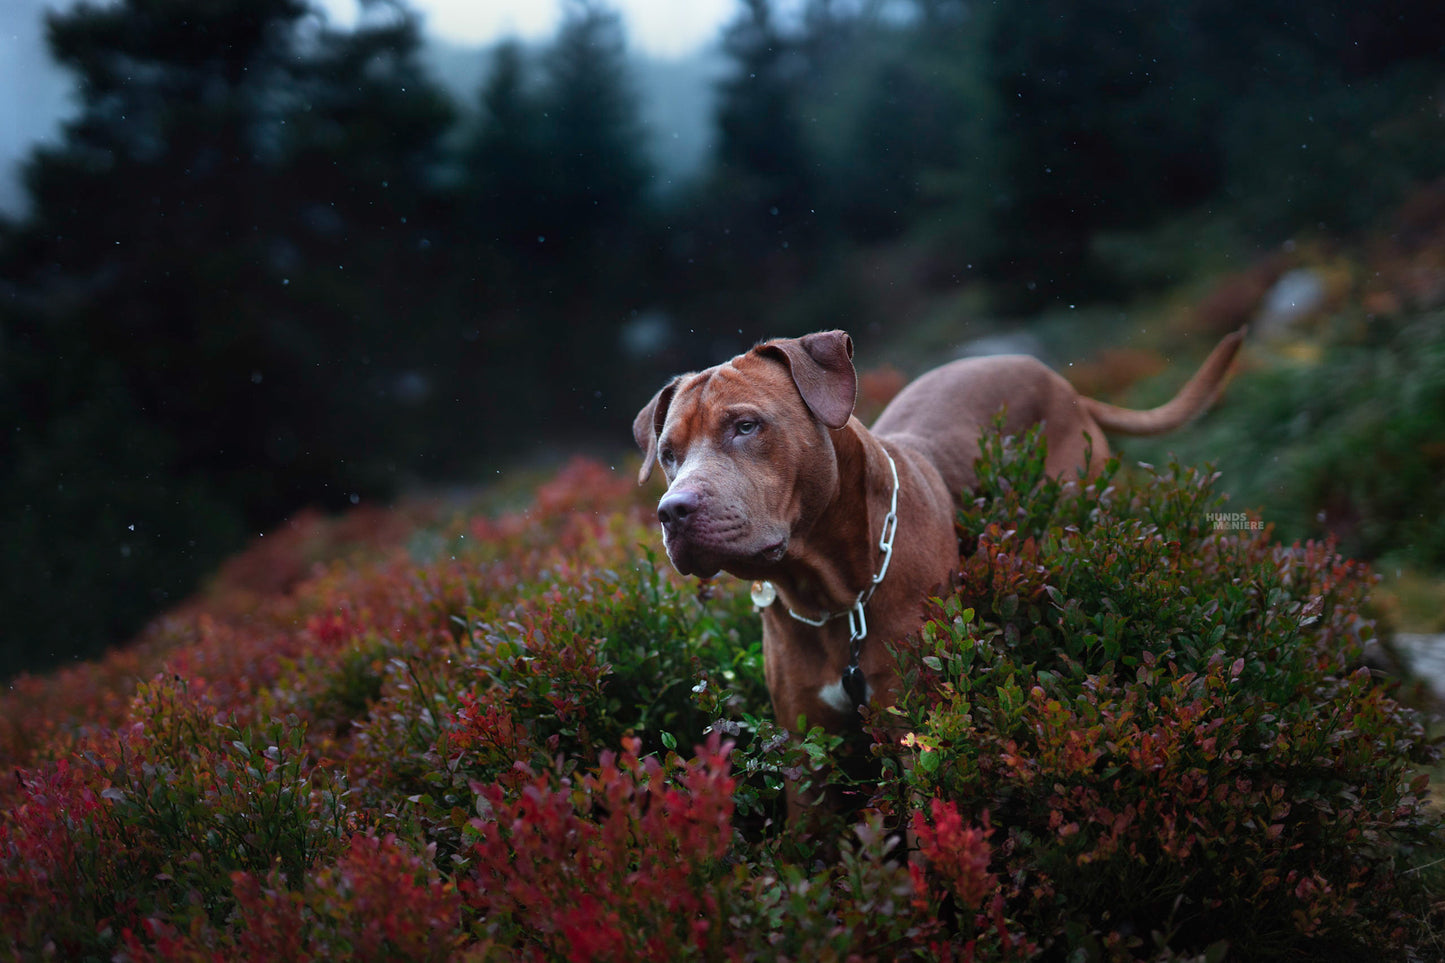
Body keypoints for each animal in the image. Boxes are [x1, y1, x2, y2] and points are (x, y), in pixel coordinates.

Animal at [632, 326, 1242, 737]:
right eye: (667, 454)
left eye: (746, 426)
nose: (672, 511)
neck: (836, 594)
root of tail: (1059, 381)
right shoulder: (809, 755)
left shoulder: (915, 728)